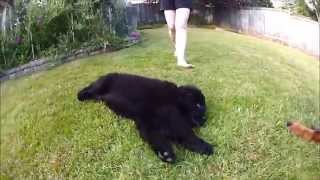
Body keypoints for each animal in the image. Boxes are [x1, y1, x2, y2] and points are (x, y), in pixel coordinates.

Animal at [77, 72, 212, 162]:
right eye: (198, 105)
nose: (204, 120)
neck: (174, 97)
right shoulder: (170, 116)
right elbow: (185, 132)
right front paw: (204, 147)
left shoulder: (146, 121)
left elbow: (154, 136)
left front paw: (165, 153)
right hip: (100, 85)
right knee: (83, 92)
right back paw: (85, 96)